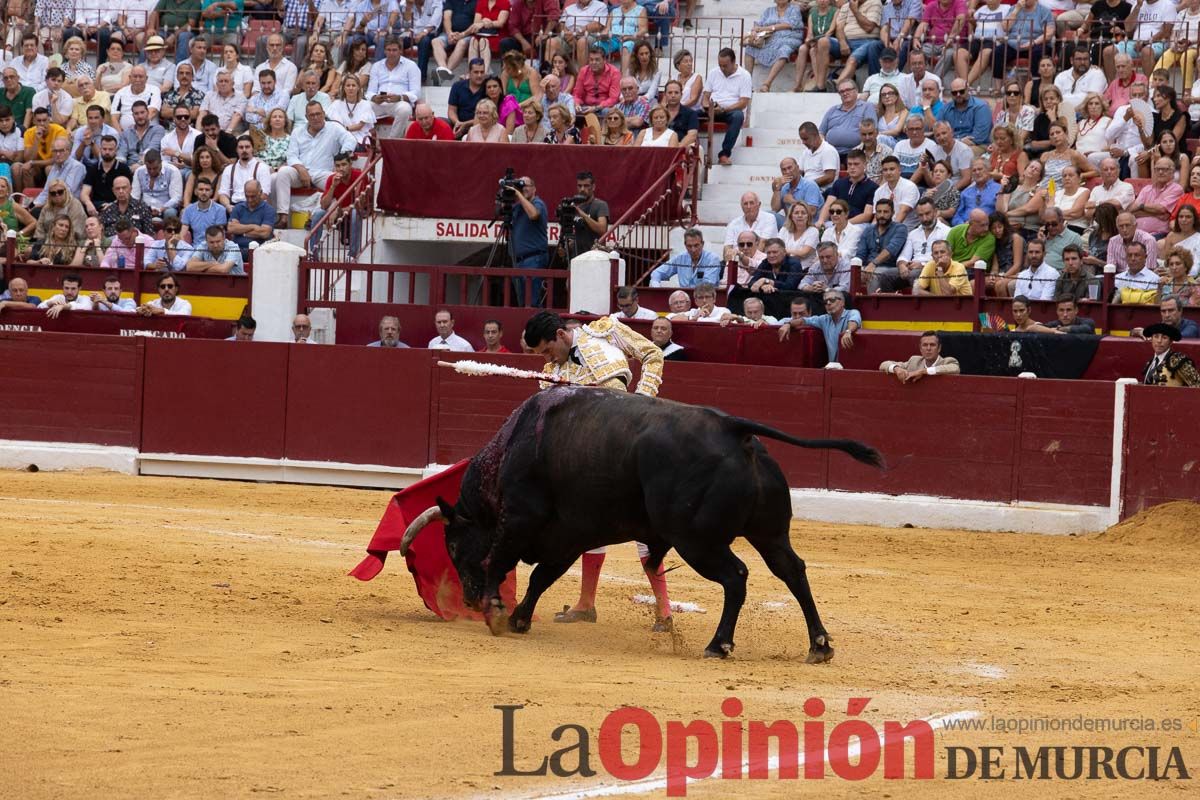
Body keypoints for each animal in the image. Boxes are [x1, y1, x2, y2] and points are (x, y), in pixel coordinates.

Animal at [398, 383, 878, 662]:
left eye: (453, 545)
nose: (469, 598)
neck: (510, 453)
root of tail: (733, 430)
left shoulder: (521, 518)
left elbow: (501, 560)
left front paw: (498, 613)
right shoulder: (568, 534)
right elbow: (541, 579)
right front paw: (518, 619)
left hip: (697, 540)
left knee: (736, 576)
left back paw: (718, 645)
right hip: (770, 532)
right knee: (792, 571)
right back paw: (819, 646)